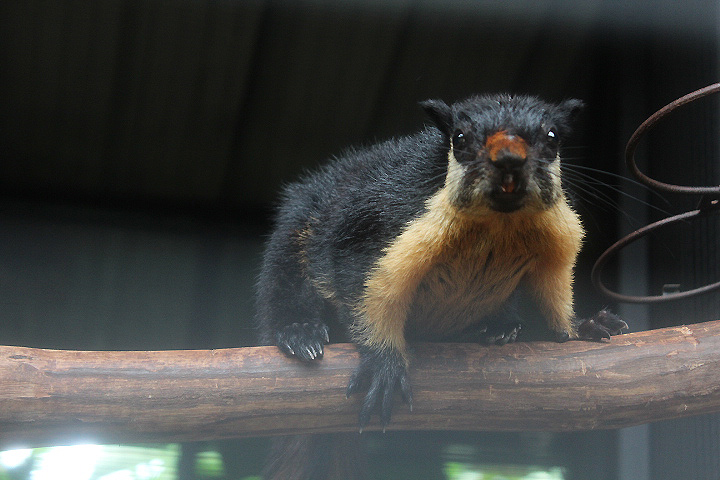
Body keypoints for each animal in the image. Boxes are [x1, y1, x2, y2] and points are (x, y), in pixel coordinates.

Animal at [256, 93, 627, 479]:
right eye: (459, 138)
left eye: (552, 136)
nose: (509, 160)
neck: (499, 224)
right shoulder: (376, 225)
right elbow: (366, 294)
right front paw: (384, 364)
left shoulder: (559, 237)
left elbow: (555, 296)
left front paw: (584, 325)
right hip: (294, 240)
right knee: (286, 290)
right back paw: (300, 333)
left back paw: (498, 327)